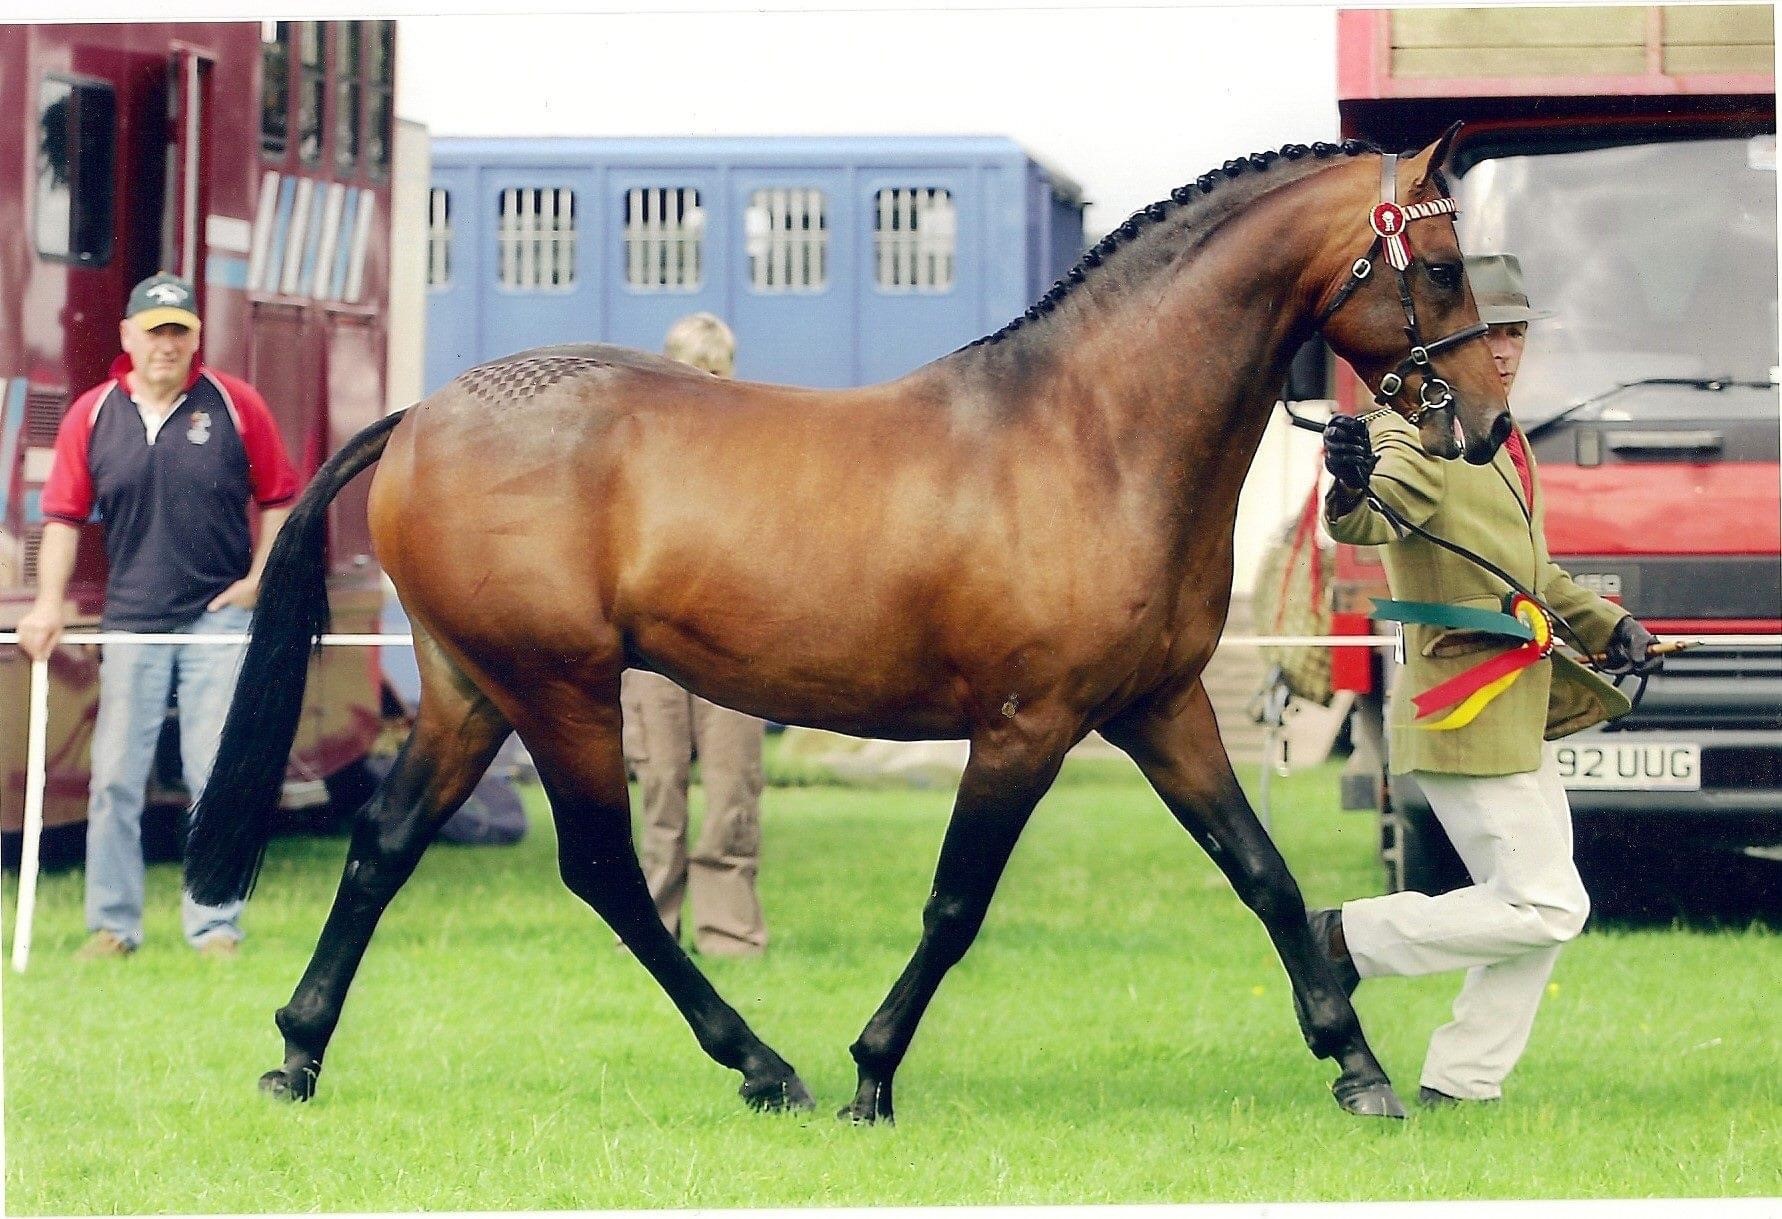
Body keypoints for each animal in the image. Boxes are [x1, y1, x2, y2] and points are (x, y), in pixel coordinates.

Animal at [187, 125, 1510, 1123]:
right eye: (1443, 266)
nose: (1489, 423)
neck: (1090, 434)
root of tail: (421, 417)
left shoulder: (1158, 708)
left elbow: (1264, 875)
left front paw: (1359, 1066)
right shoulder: (1026, 725)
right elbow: (956, 903)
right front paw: (873, 1074)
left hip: (472, 690)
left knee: (383, 846)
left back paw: (298, 1049)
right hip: (559, 689)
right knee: (605, 871)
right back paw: (762, 1063)